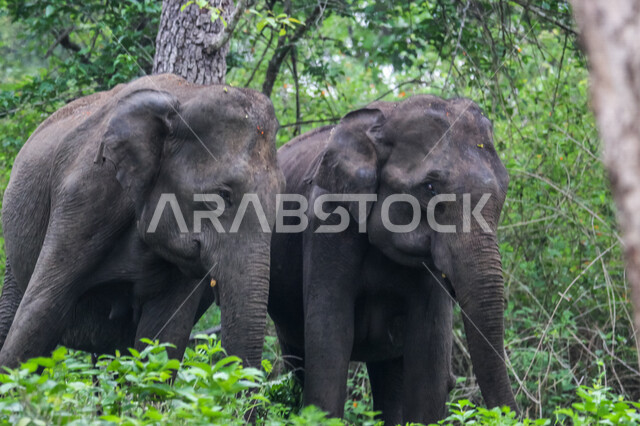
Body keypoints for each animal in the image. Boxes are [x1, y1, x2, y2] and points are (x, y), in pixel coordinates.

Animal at [268, 95, 518, 424]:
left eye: (504, 190)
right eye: (430, 188)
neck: (382, 121)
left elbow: (428, 352)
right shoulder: (327, 221)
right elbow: (329, 339)